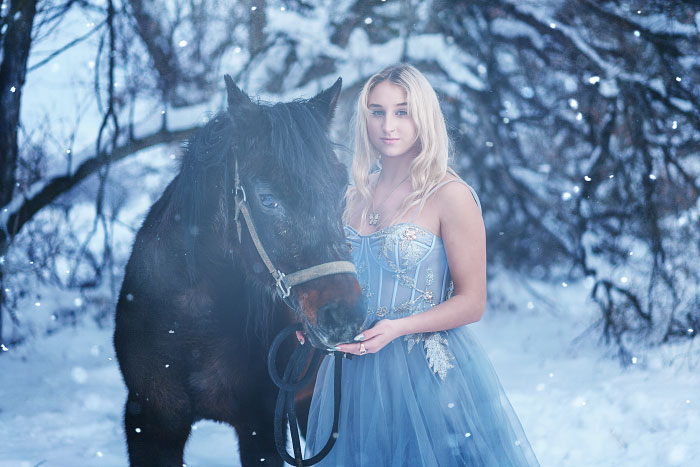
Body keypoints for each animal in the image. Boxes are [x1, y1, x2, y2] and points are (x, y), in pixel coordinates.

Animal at [114, 77, 366, 467]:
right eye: (267, 199)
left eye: (341, 191)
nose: (345, 315)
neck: (190, 321)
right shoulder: (151, 423)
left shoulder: (261, 428)